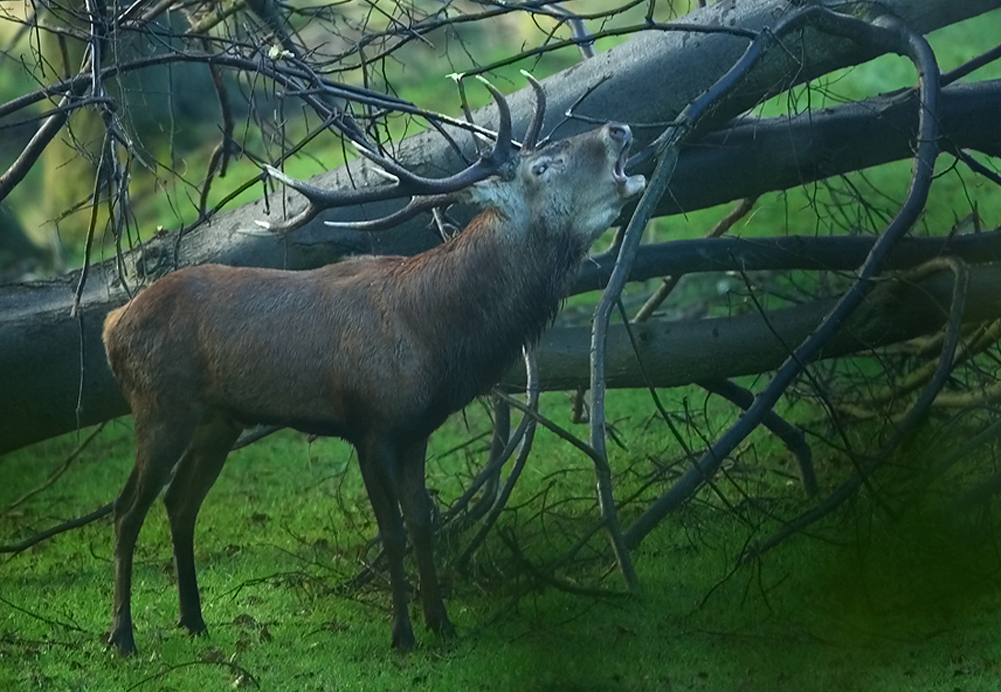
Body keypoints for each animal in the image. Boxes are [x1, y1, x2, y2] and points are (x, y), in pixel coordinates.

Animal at [100, 78, 646, 657]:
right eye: (541, 166)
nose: (618, 129)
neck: (436, 339)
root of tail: (112, 325)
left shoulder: (417, 430)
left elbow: (423, 522)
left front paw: (442, 623)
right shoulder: (370, 426)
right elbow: (393, 531)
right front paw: (403, 633)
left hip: (218, 421)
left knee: (180, 504)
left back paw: (193, 619)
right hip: (160, 409)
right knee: (126, 509)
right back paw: (122, 634)